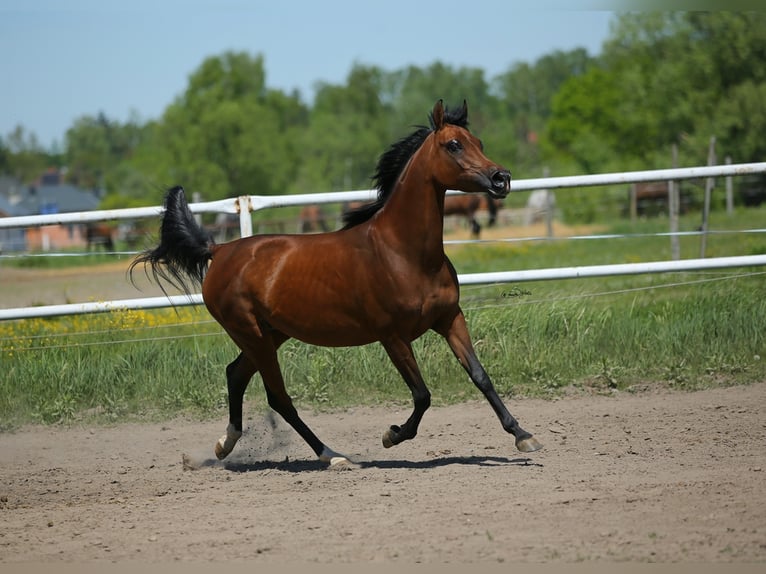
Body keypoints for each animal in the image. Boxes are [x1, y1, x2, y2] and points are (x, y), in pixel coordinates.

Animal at [130, 99, 541, 467]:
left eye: (479, 143)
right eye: (453, 144)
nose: (501, 178)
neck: (403, 253)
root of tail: (221, 250)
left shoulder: (449, 318)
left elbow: (481, 376)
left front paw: (524, 436)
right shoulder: (392, 336)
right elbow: (422, 394)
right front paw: (391, 435)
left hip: (270, 334)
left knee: (236, 374)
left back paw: (223, 447)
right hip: (252, 333)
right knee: (278, 397)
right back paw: (332, 456)